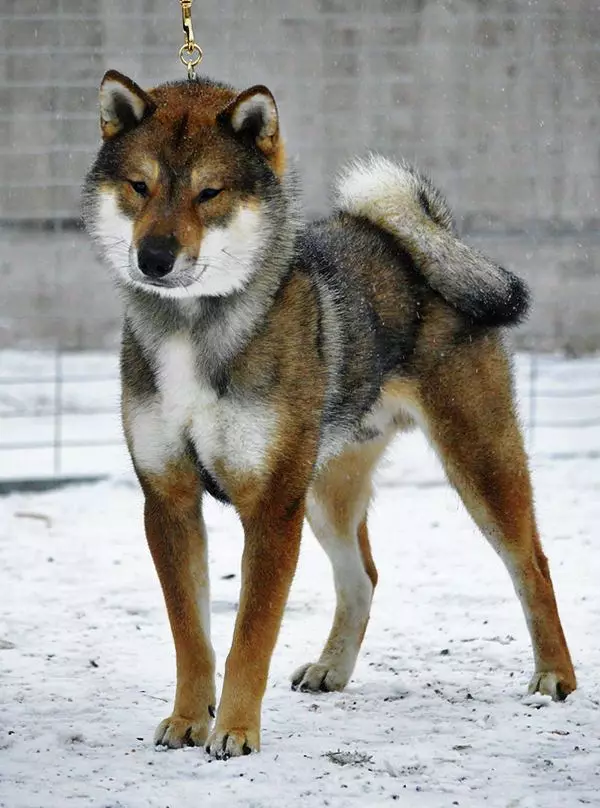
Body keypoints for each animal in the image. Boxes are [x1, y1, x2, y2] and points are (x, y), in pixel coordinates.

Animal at [82, 69, 576, 756]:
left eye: (209, 192)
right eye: (139, 186)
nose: (153, 258)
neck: (195, 330)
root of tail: (420, 239)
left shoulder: (271, 507)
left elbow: (249, 639)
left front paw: (235, 730)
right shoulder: (169, 498)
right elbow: (191, 636)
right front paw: (187, 718)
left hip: (477, 461)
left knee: (533, 564)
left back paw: (556, 676)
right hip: (325, 490)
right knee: (363, 577)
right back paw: (331, 669)